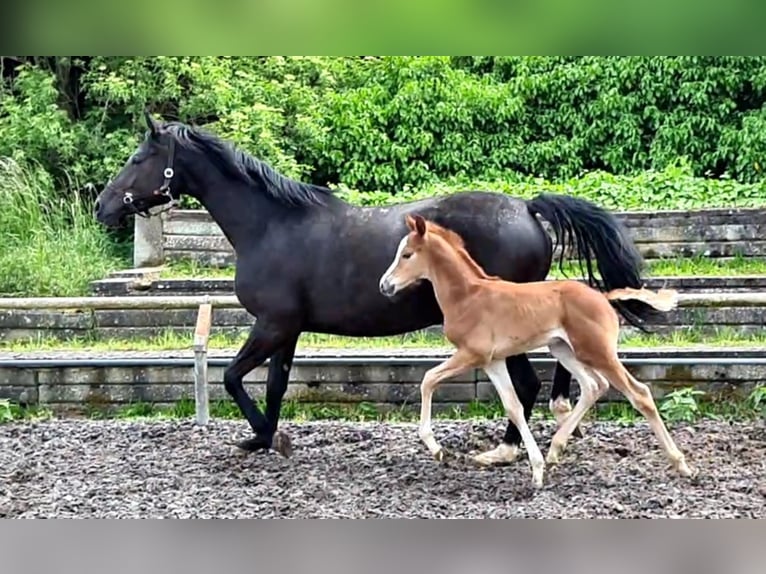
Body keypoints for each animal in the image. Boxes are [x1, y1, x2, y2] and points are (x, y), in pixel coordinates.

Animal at [94, 112, 656, 464]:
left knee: (529, 385)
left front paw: (260, 437)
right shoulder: (288, 329)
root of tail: (527, 207)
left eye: (138, 158)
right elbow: (274, 385)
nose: (102, 206)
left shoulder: (271, 323)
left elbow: (231, 377)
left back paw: (508, 448)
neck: (272, 226)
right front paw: (270, 439)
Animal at [380, 216, 700, 490]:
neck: (468, 296)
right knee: (593, 385)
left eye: (407, 254)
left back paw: (681, 464)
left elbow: (428, 379)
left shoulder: (472, 354)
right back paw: (555, 450)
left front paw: (436, 448)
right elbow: (513, 406)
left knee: (639, 393)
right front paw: (536, 469)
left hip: (597, 352)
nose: (385, 285)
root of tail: (603, 297)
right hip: (564, 349)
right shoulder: (493, 361)